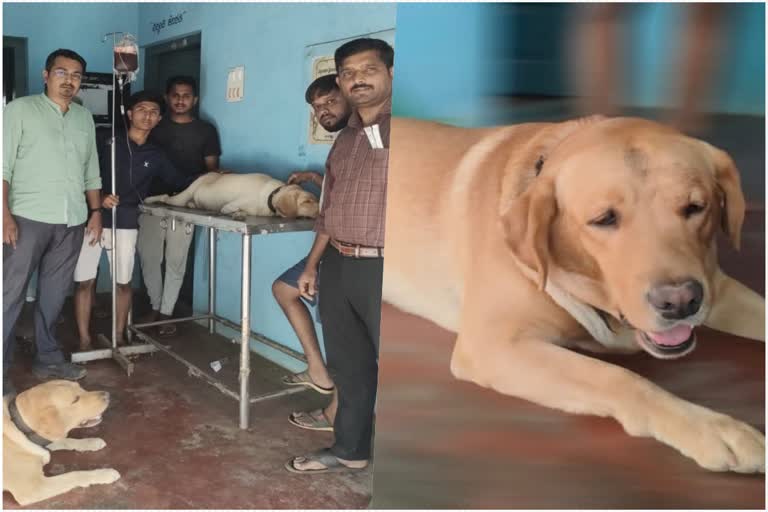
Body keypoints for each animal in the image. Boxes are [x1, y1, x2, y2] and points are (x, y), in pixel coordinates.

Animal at [146, 173, 320, 219]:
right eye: (307, 201)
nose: (321, 212)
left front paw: (239, 214)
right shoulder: (235, 202)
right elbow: (228, 207)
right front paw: (231, 211)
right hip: (180, 198)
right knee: (165, 197)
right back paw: (149, 199)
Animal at [388, 115, 764, 472]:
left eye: (695, 207)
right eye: (604, 219)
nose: (681, 301)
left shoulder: (717, 287)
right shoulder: (492, 345)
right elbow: (618, 377)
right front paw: (711, 428)